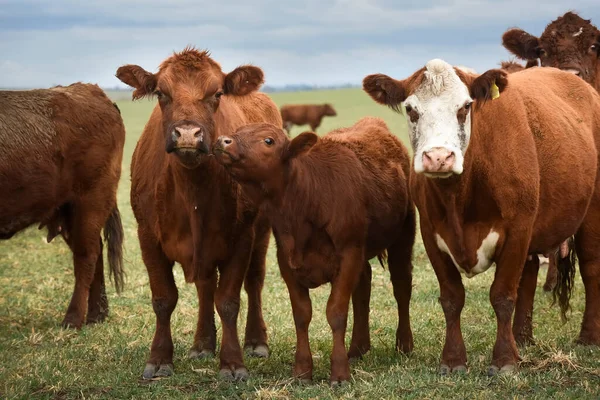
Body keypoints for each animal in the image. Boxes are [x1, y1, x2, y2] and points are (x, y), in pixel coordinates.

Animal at [0, 83, 125, 328]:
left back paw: (73, 319)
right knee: (93, 253)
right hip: (68, 214)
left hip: (89, 205)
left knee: (86, 256)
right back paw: (96, 315)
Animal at [117, 47, 284, 382]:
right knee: (206, 286)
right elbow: (163, 299)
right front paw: (159, 358)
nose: (187, 134)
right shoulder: (147, 236)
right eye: (161, 92)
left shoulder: (241, 237)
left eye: (217, 93)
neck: (192, 191)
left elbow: (229, 300)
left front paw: (232, 362)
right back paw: (202, 343)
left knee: (254, 281)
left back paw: (256, 341)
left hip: (261, 232)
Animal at [216, 117, 418, 386]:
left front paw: (340, 373)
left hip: (403, 236)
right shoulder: (287, 261)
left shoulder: (348, 254)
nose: (223, 141)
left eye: (268, 140)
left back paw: (404, 344)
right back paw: (358, 348)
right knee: (363, 288)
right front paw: (302, 370)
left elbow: (336, 312)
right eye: (237, 131)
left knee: (402, 287)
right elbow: (302, 315)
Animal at [364, 58, 600, 376]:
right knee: (529, 274)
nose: (439, 157)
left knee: (590, 268)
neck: (459, 195)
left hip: (591, 212)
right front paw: (453, 360)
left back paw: (587, 336)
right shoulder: (431, 235)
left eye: (465, 107)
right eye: (411, 109)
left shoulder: (517, 231)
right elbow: (452, 298)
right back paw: (521, 338)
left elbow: (502, 295)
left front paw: (504, 360)